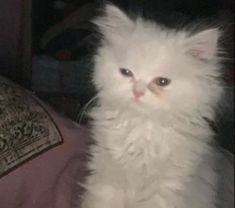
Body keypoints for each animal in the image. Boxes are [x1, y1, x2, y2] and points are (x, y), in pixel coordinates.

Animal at [78, 3, 233, 208]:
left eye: (162, 82)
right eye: (126, 72)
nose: (137, 91)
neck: (142, 132)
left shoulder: (165, 190)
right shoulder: (106, 180)